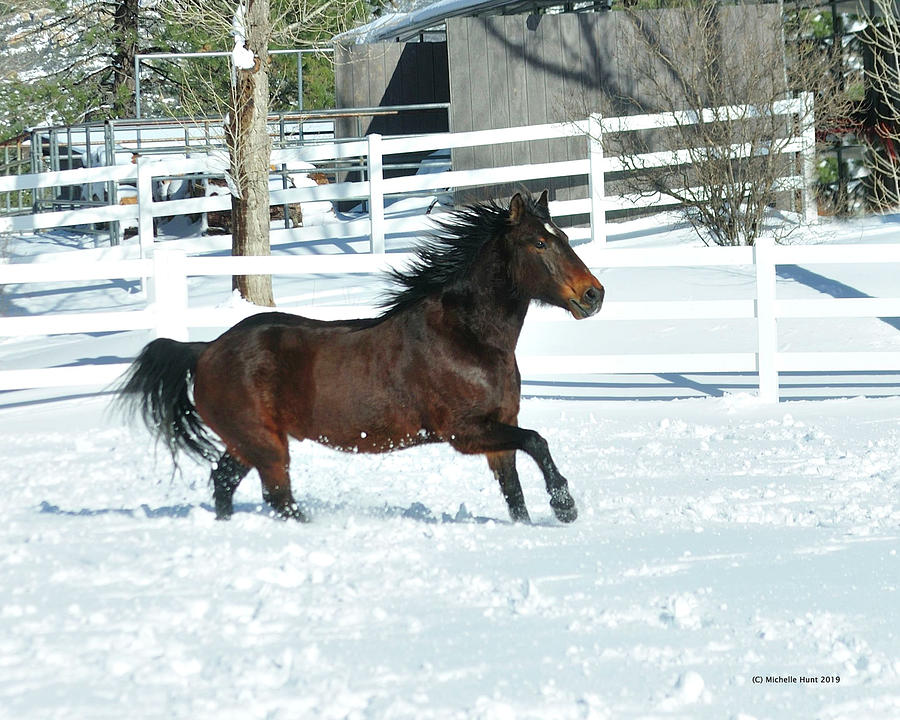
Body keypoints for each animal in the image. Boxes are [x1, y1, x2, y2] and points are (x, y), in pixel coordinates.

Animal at [116, 191, 600, 524]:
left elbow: (515, 493)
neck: (467, 338)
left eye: (563, 237)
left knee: (225, 482)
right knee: (278, 498)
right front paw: (565, 506)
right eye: (539, 243)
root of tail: (205, 350)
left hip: (247, 441)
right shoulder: (464, 431)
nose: (593, 295)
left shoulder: (497, 430)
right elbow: (537, 442)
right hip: (266, 444)